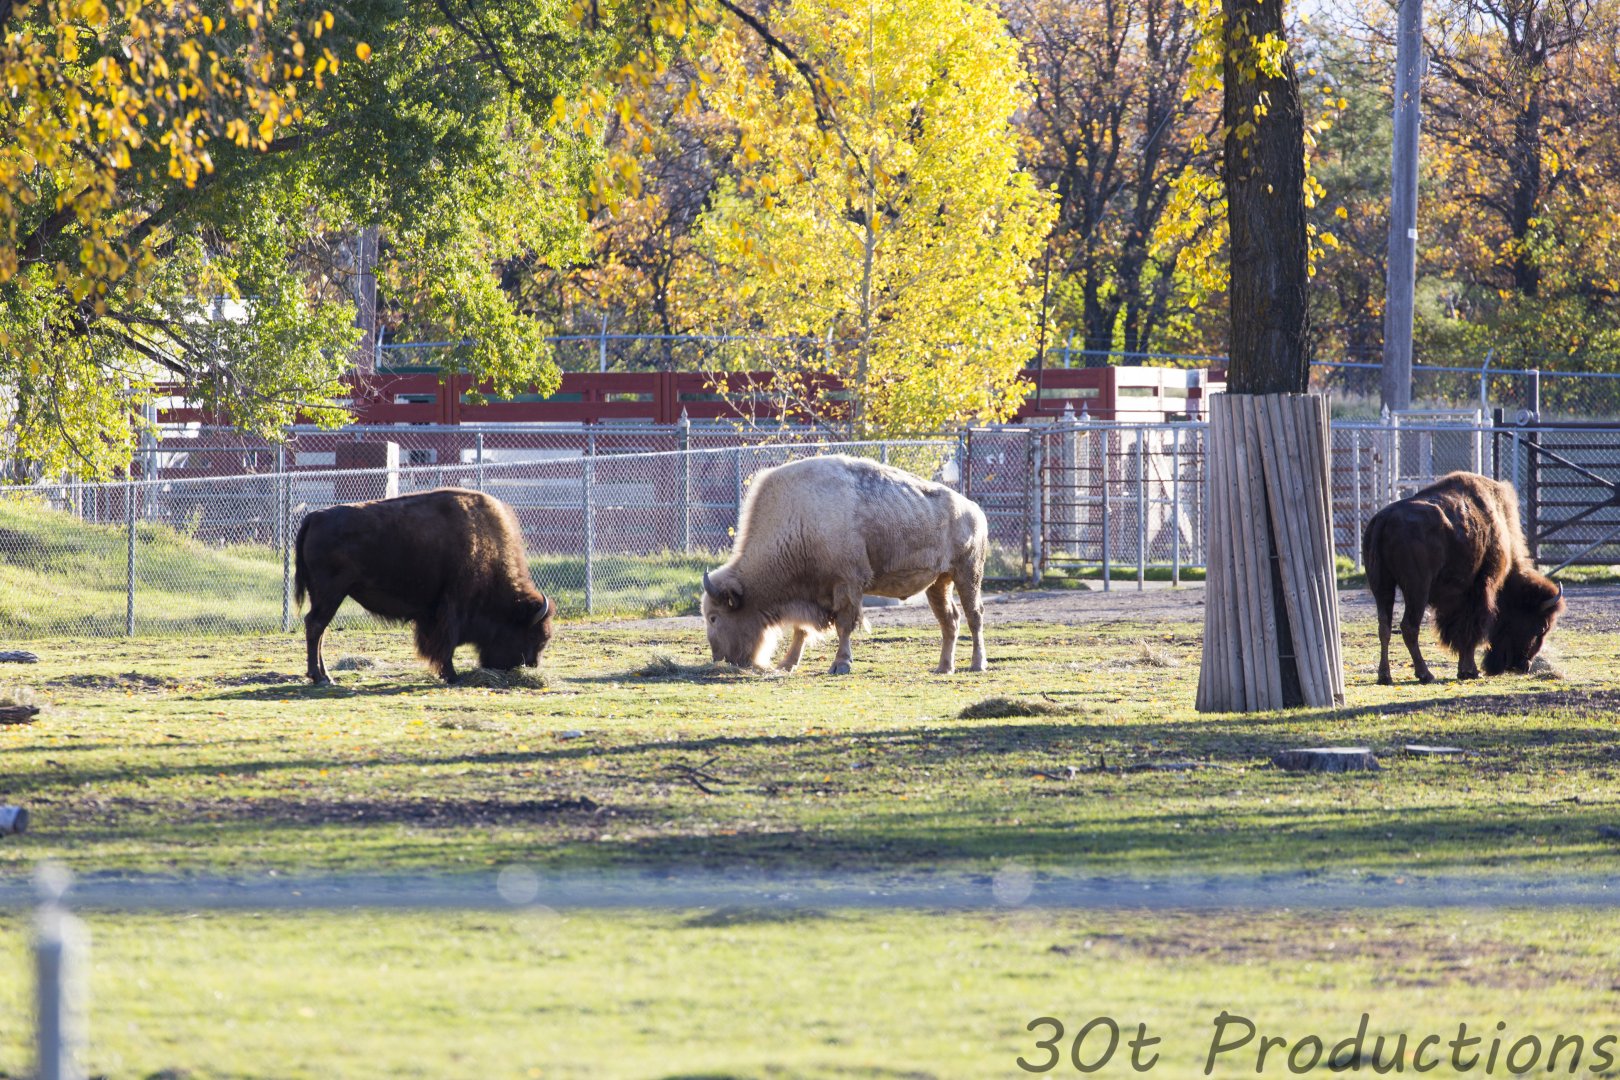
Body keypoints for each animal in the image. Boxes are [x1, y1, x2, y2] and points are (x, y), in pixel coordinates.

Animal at [295, 488, 553, 684]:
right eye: (534, 635)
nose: (531, 664)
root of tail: (314, 517)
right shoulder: (451, 608)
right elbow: (446, 644)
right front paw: (451, 675)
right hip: (331, 593)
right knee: (316, 625)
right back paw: (321, 677)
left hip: (323, 594)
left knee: (319, 628)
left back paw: (324, 675)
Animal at [701, 454, 988, 675]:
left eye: (714, 617)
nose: (720, 659)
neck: (799, 519)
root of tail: (975, 510)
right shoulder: (809, 593)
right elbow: (801, 630)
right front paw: (787, 664)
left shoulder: (847, 584)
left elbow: (844, 625)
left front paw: (840, 664)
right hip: (938, 583)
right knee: (950, 620)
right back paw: (944, 668)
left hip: (968, 575)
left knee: (974, 616)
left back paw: (977, 664)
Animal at [1363, 471, 1563, 684]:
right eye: (1541, 626)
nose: (1523, 666)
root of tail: (1384, 518)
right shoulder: (1480, 588)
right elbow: (1470, 630)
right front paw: (1470, 671)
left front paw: (1465, 670)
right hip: (1417, 589)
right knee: (1409, 626)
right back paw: (1425, 674)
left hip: (1382, 586)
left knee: (1384, 626)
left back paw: (1385, 676)